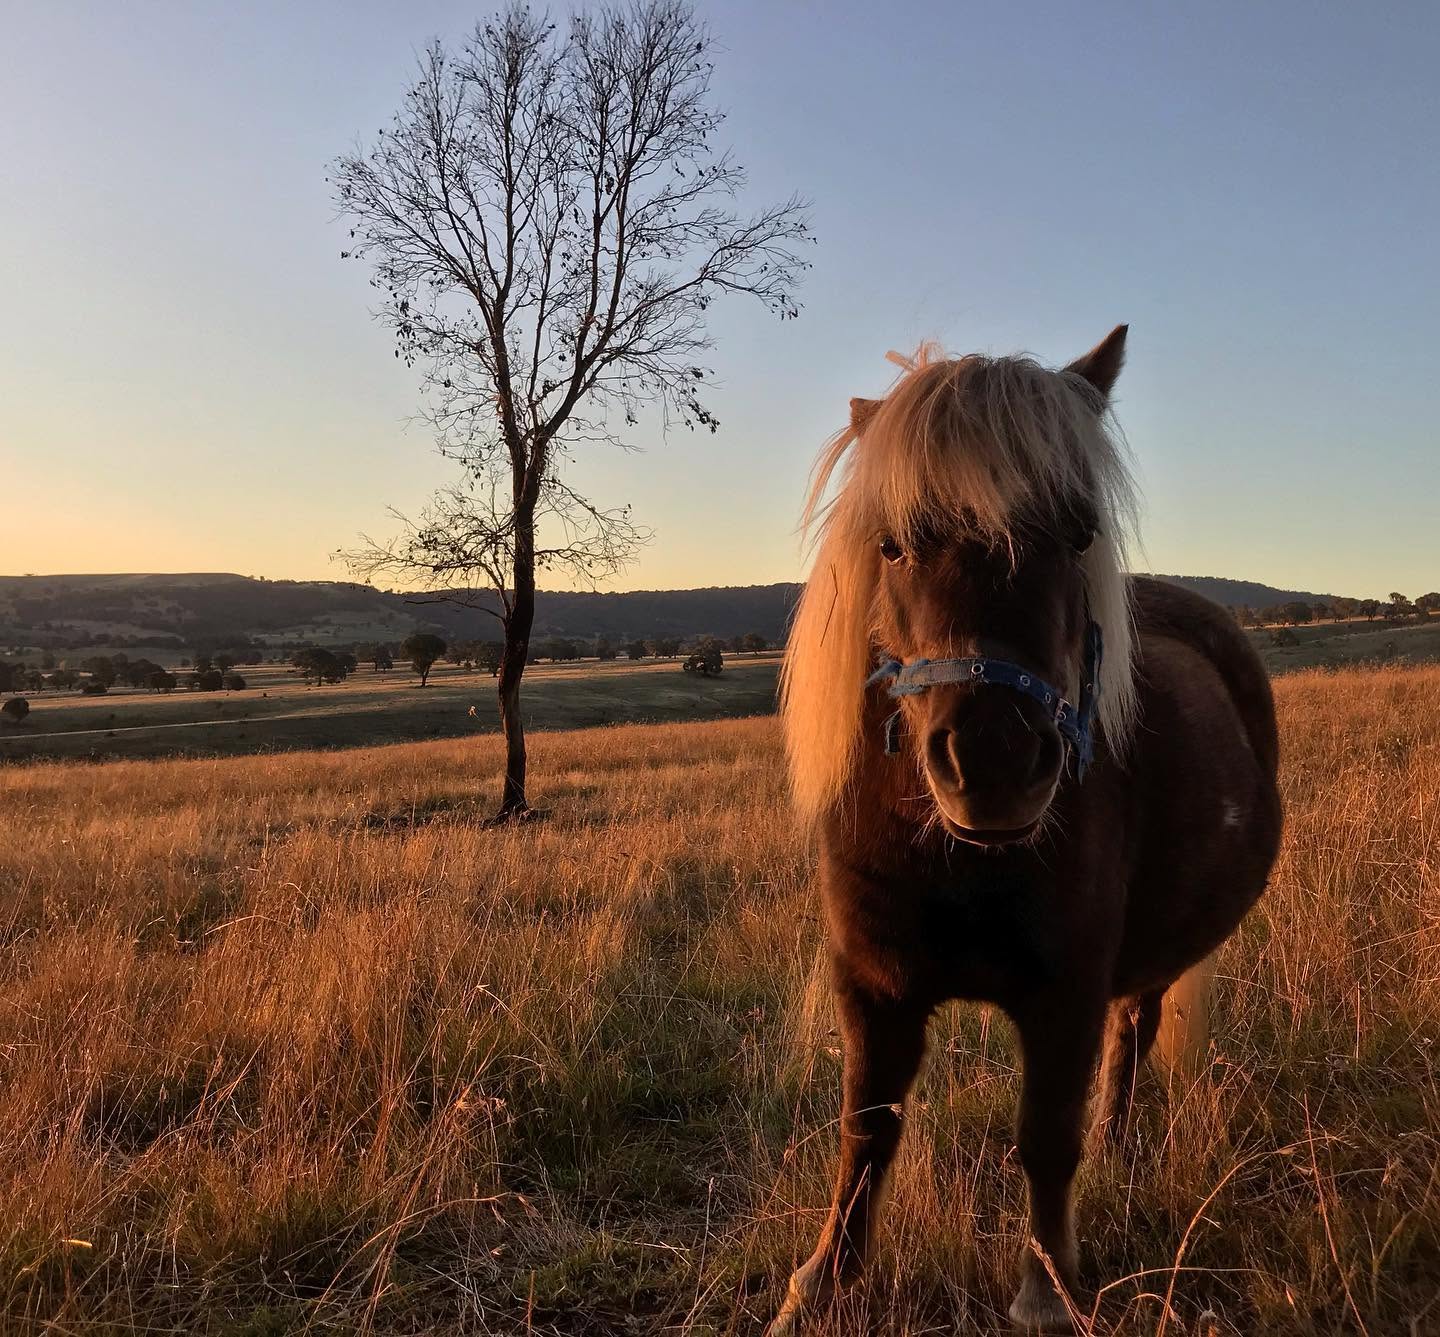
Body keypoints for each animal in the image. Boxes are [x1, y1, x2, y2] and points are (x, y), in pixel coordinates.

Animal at [771, 326, 1282, 1333]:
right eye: (892, 543)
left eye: (1079, 534)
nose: (996, 763)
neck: (953, 857)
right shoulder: (873, 987)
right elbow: (865, 1130)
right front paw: (823, 1280)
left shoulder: (1067, 991)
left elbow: (1046, 1136)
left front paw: (1047, 1290)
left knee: (1134, 1034)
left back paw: (1122, 1153)